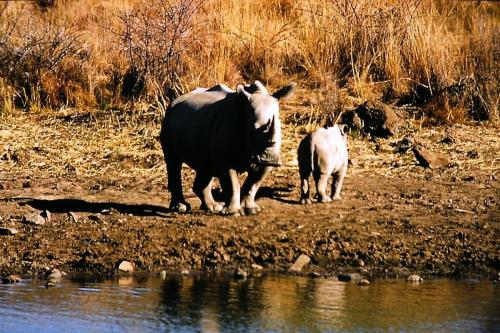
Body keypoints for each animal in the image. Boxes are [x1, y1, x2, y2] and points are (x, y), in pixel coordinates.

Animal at [160, 81, 294, 215]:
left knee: (206, 164)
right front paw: (234, 213)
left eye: (280, 129)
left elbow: (254, 183)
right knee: (173, 161)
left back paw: (213, 207)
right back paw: (181, 208)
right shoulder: (226, 158)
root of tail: (174, 101)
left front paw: (252, 210)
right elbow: (232, 184)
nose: (270, 159)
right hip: (167, 121)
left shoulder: (264, 157)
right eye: (251, 130)